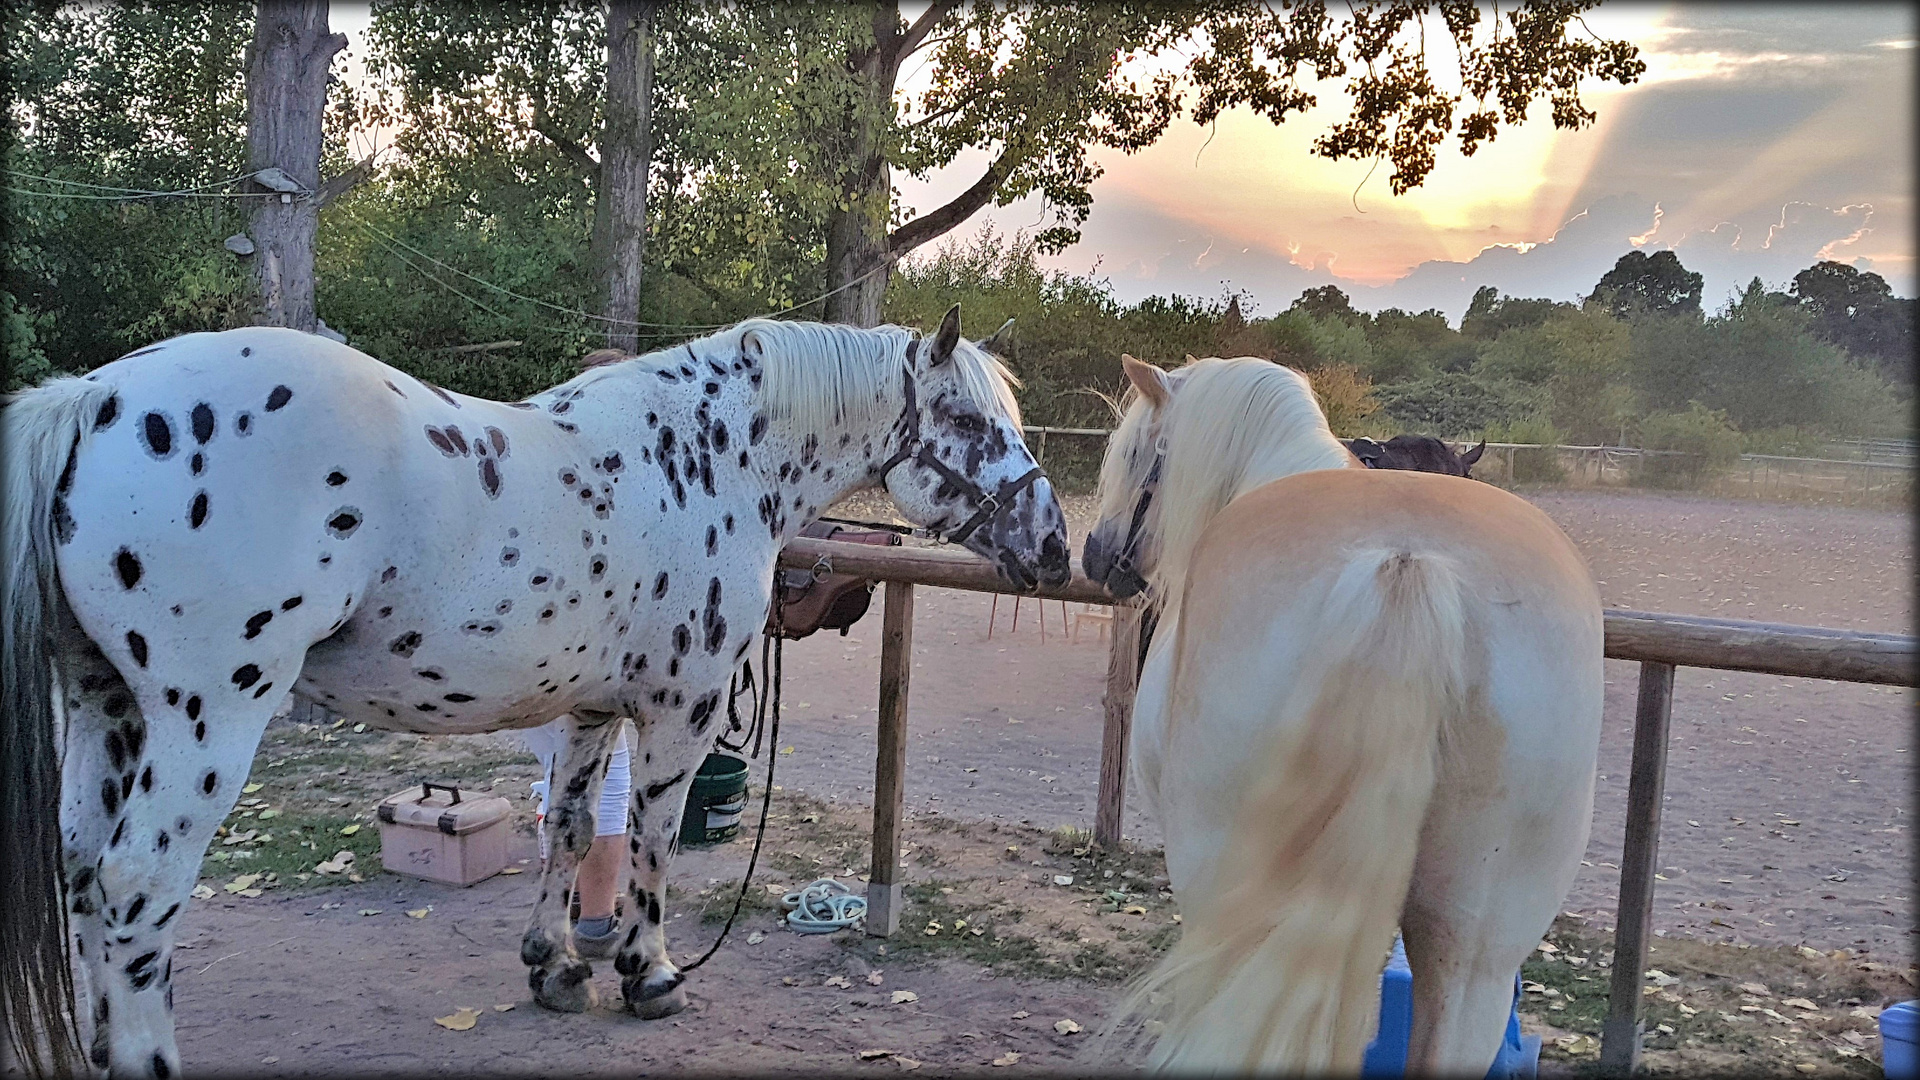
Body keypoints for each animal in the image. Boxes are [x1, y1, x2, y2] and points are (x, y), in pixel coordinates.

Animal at [0, 305, 1067, 1076]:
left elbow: (569, 826)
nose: (1053, 545)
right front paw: (648, 973)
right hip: (209, 716)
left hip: (106, 704)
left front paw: (554, 965)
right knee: (139, 886)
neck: (711, 456)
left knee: (84, 867)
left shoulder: (590, 709)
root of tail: (94, 396)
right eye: (966, 422)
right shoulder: (680, 711)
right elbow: (652, 838)